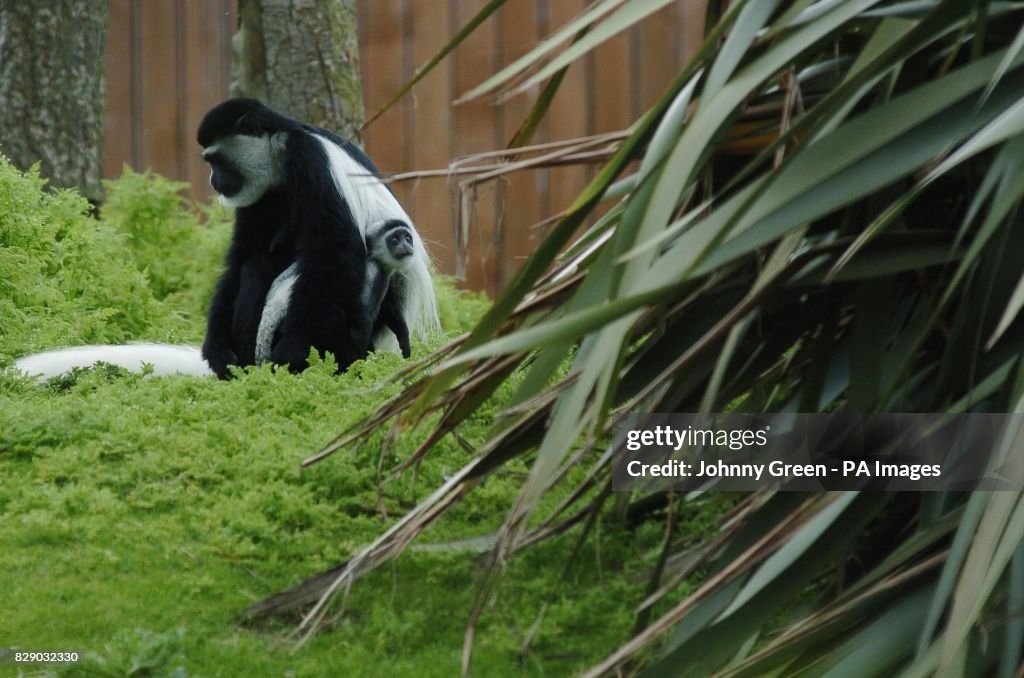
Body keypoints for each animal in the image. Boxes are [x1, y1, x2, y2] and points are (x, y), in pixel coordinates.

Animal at [12, 98, 436, 378]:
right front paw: (216, 349)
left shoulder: (312, 164)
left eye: (217, 160)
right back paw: (242, 368)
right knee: (258, 266)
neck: (281, 150)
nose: (215, 181)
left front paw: (294, 351)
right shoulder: (262, 194)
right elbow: (243, 254)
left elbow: (333, 250)